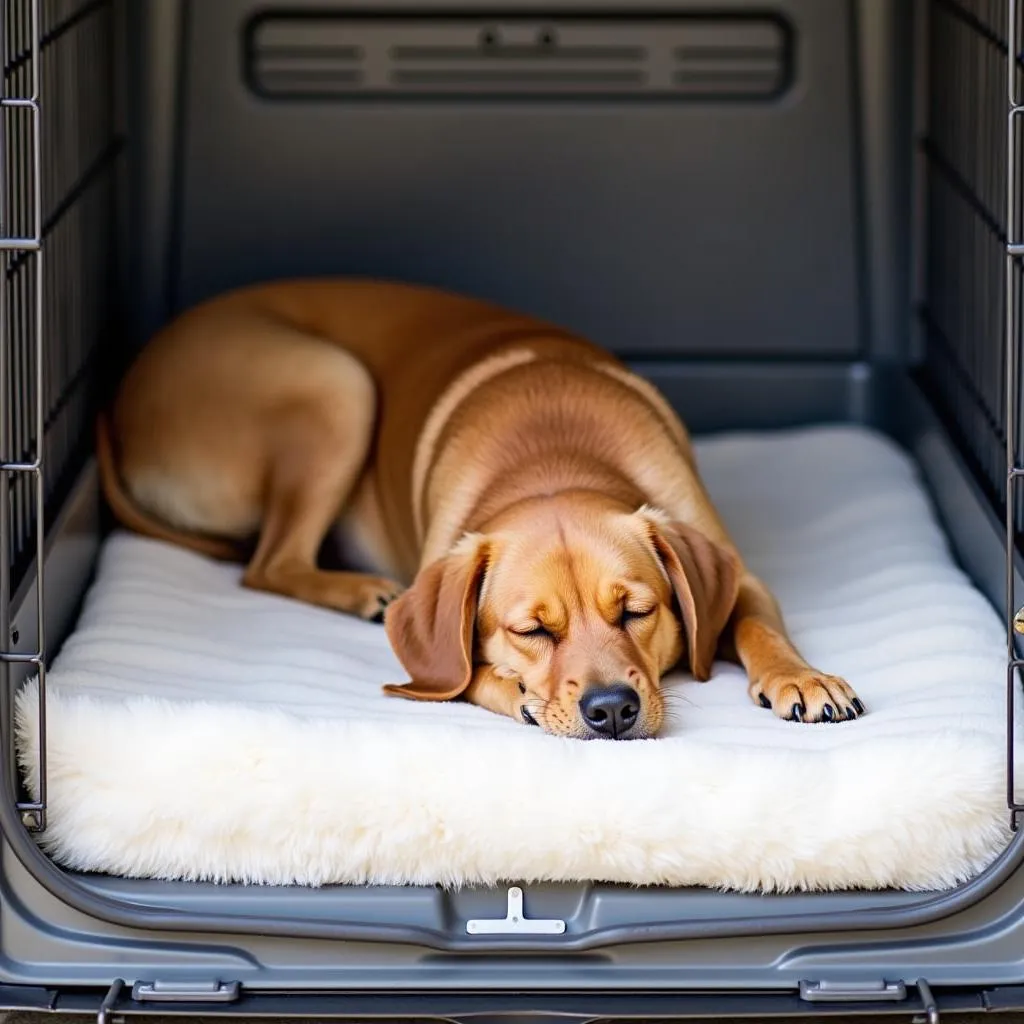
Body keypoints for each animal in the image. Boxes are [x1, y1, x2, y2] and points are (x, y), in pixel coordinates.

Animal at [97, 278, 864, 745]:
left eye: (636, 612)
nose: (611, 710)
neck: (556, 454)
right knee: (267, 564)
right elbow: (465, 679)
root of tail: (123, 397)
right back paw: (361, 589)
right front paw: (513, 691)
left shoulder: (740, 575)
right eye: (532, 630)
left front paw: (800, 675)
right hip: (336, 385)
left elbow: (759, 625)